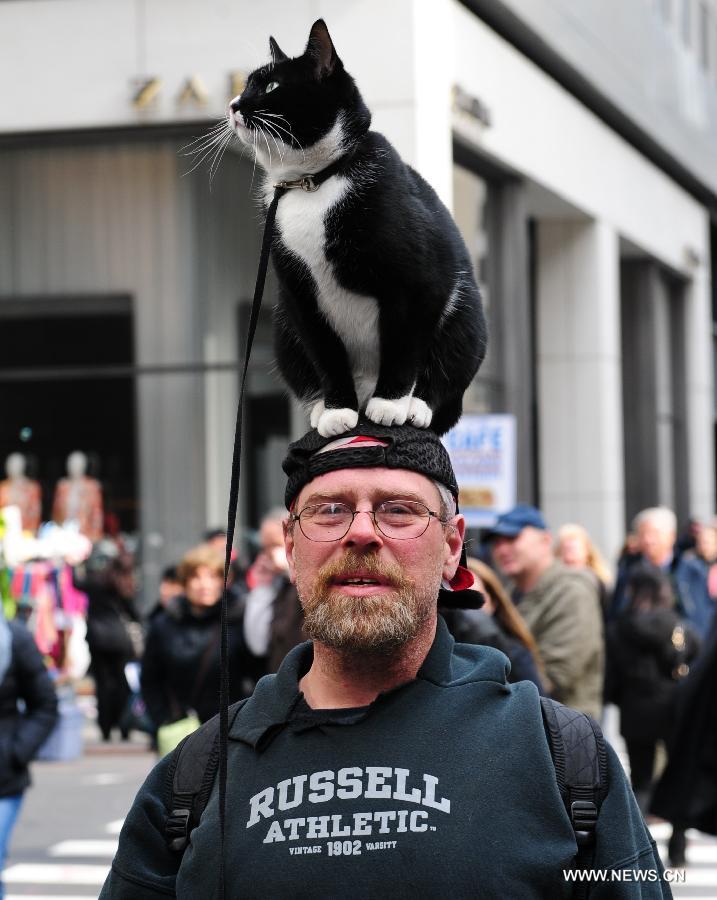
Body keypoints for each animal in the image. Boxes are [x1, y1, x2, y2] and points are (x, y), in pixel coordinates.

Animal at [229, 19, 486, 438]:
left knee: (449, 370)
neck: (313, 183)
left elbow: (404, 344)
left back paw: (414, 407)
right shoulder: (299, 294)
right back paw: (324, 408)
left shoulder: (420, 281)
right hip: (283, 328)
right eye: (246, 84)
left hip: (466, 315)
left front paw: (391, 404)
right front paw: (337, 410)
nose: (233, 104)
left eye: (270, 87)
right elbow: (325, 352)